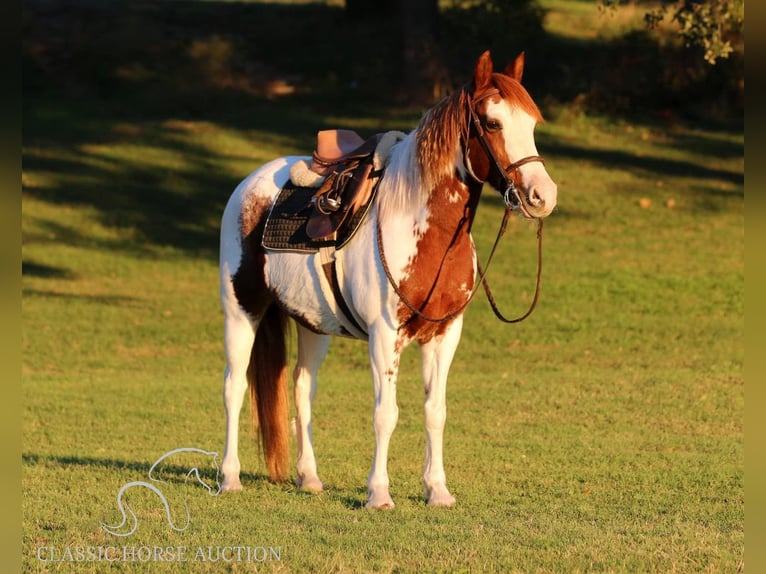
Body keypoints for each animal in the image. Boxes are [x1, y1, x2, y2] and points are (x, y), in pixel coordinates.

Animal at [216, 48, 560, 508]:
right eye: (492, 123)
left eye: (532, 125)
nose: (543, 196)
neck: (421, 227)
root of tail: (249, 184)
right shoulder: (384, 334)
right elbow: (386, 413)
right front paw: (378, 492)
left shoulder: (444, 334)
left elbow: (435, 411)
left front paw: (438, 490)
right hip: (242, 311)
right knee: (234, 387)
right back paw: (229, 477)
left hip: (312, 325)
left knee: (303, 388)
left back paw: (310, 477)